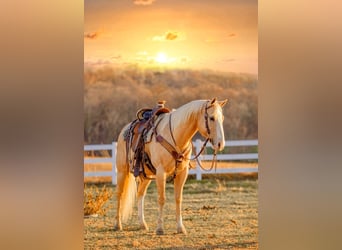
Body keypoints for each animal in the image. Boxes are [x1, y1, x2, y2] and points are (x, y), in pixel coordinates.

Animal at [113, 97, 228, 234]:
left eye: (222, 118)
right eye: (211, 118)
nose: (220, 144)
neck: (176, 136)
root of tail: (124, 130)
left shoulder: (182, 173)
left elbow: (178, 199)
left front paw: (180, 228)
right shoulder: (161, 172)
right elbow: (162, 199)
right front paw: (160, 229)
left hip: (146, 175)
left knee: (140, 194)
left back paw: (142, 224)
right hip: (122, 171)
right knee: (119, 194)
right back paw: (117, 225)